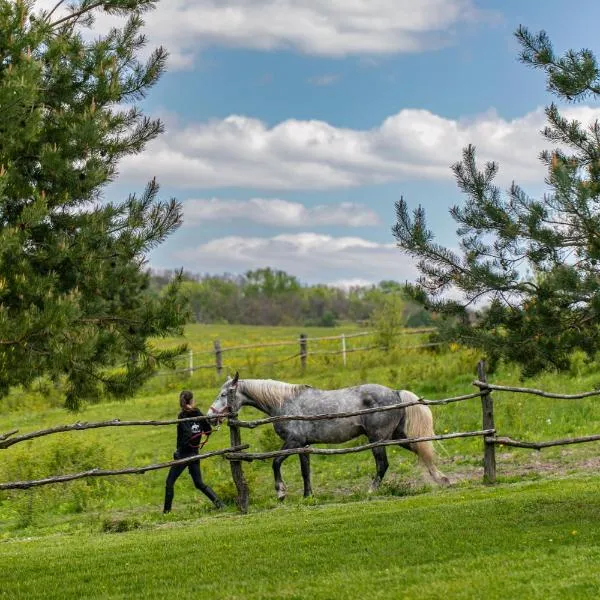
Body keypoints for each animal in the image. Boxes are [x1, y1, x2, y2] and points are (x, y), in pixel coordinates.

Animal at [209, 372, 448, 500]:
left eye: (224, 394)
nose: (210, 417)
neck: (284, 402)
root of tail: (395, 393)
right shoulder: (303, 445)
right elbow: (305, 471)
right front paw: (308, 496)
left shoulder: (293, 441)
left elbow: (275, 462)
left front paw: (281, 492)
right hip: (396, 436)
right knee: (421, 449)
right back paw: (442, 479)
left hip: (378, 439)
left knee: (382, 464)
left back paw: (370, 491)